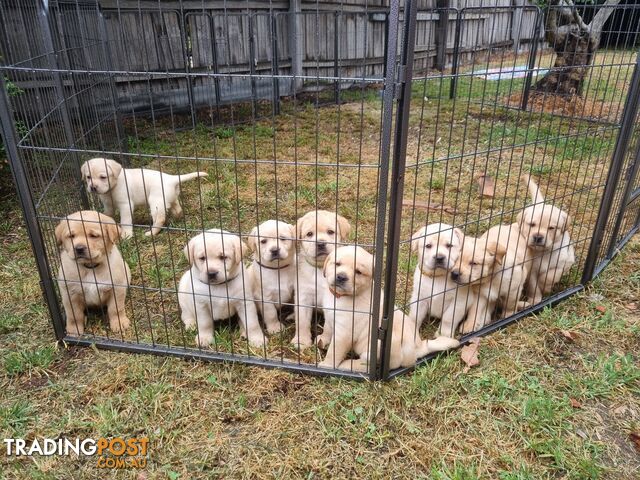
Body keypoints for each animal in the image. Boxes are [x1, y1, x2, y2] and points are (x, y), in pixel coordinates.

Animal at [57, 210, 132, 338]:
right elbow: (74, 314)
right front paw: (74, 329)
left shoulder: (117, 288)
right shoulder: (69, 293)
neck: (90, 267)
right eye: (71, 236)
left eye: (93, 236)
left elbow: (115, 309)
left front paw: (119, 323)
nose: (79, 248)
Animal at [294, 210, 350, 348]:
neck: (321, 268)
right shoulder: (303, 296)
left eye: (330, 232)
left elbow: (329, 326)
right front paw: (301, 341)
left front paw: (324, 340)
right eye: (309, 234)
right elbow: (302, 321)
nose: (320, 243)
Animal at [320, 246, 460, 374]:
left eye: (358, 272)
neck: (340, 297)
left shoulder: (344, 333)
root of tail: (417, 350)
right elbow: (327, 329)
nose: (341, 277)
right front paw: (322, 340)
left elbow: (334, 351)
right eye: (337, 264)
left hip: (382, 343)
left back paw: (347, 365)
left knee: (368, 365)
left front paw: (327, 366)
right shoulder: (329, 316)